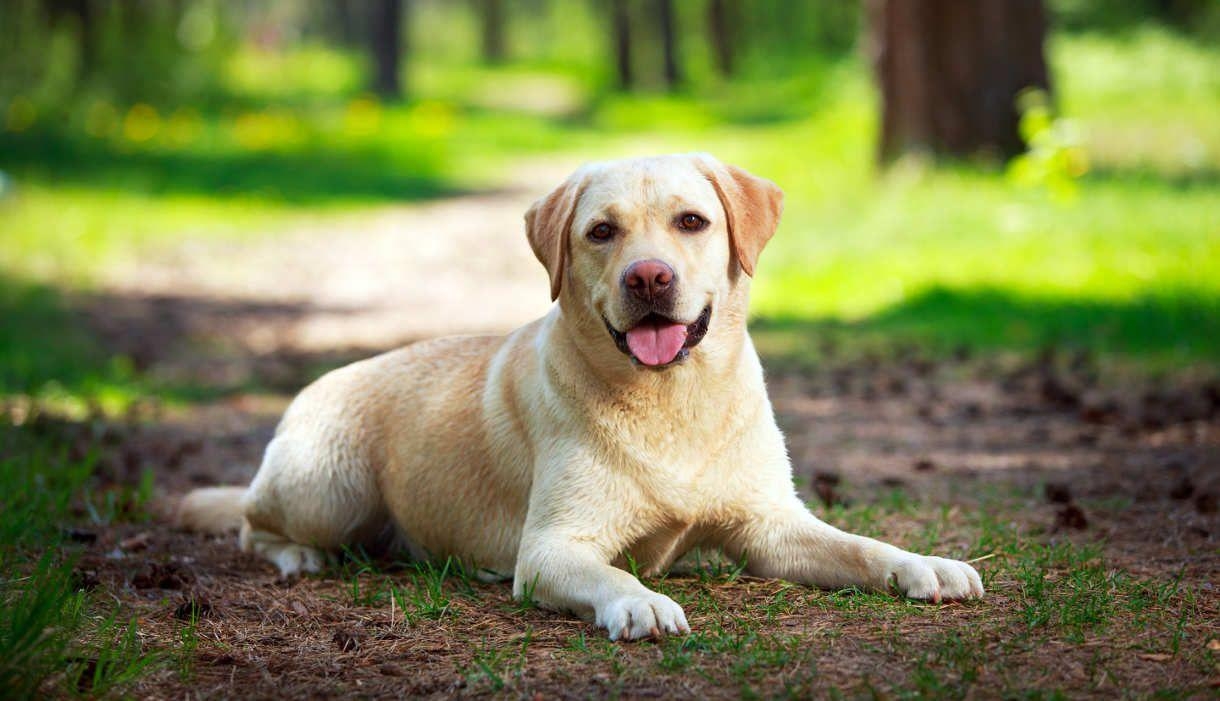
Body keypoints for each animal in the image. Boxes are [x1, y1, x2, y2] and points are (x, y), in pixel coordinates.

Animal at [178, 153, 980, 643]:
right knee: (252, 524)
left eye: (692, 221)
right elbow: (611, 569)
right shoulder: (552, 547)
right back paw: (297, 556)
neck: (671, 400)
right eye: (601, 232)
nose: (649, 276)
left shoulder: (772, 526)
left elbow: (861, 544)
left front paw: (925, 563)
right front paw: (641, 599)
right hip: (327, 488)